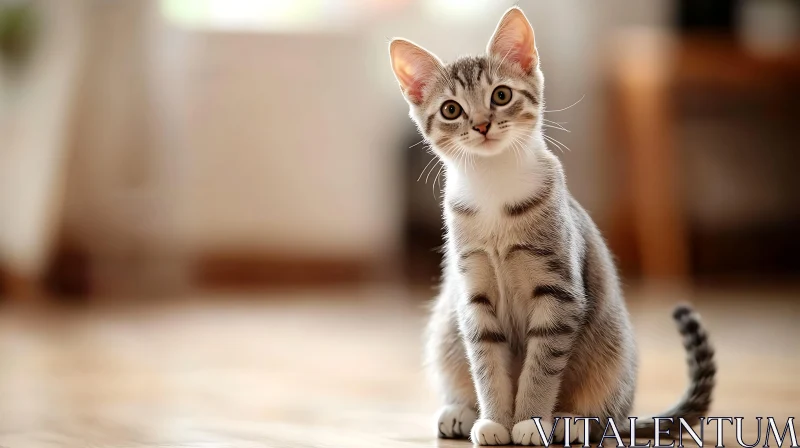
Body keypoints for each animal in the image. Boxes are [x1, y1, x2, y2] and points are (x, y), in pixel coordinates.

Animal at [390, 6, 720, 444]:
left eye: (501, 95)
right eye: (451, 110)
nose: (481, 124)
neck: (494, 188)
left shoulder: (558, 294)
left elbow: (541, 368)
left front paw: (529, 421)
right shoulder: (474, 297)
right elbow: (486, 365)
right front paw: (495, 419)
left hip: (612, 354)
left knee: (605, 418)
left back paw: (570, 421)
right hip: (446, 324)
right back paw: (460, 411)